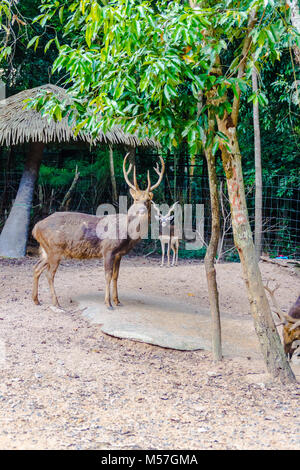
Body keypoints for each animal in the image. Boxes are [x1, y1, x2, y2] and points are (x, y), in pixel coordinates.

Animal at [32, 152, 164, 310]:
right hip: (55, 249)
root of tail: (35, 227)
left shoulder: (119, 254)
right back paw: (56, 302)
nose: (141, 210)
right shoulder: (107, 249)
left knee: (36, 268)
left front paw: (117, 301)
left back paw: (36, 300)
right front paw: (108, 303)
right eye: (136, 199)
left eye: (148, 201)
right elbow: (107, 275)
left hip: (46, 250)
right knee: (49, 274)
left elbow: (116, 276)